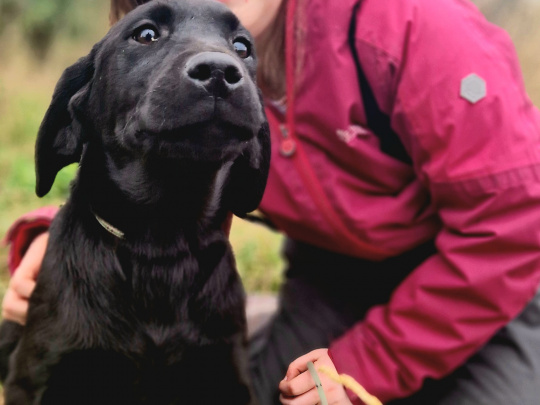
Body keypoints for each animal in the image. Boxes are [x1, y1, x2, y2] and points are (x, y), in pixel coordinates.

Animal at [0, 1, 270, 402]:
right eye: (146, 35)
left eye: (242, 46)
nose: (220, 72)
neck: (161, 247)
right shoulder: (36, 374)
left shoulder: (227, 371)